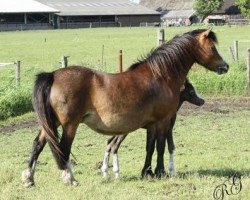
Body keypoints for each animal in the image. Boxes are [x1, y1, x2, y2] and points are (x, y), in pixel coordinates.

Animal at [22, 28, 229, 187]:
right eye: (212, 47)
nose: (225, 66)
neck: (160, 76)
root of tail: (53, 75)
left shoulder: (151, 124)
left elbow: (150, 147)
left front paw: (147, 172)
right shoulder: (163, 121)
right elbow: (161, 147)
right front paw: (160, 172)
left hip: (50, 124)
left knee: (38, 144)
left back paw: (29, 179)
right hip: (69, 125)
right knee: (63, 148)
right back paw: (70, 179)